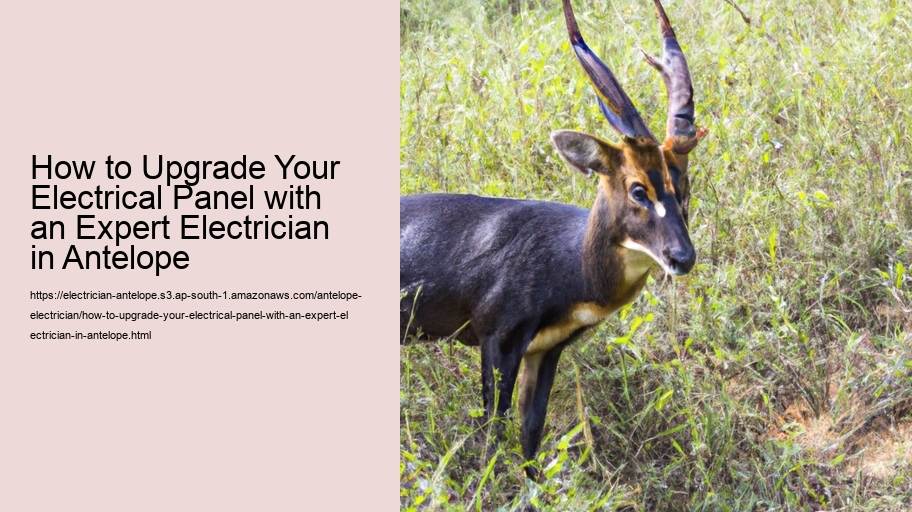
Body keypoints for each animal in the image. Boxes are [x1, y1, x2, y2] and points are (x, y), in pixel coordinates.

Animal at [400, 0, 706, 475]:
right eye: (639, 188)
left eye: (685, 184)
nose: (682, 256)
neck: (570, 264)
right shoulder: (497, 338)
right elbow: (492, 433)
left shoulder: (546, 349)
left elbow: (531, 433)